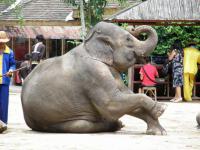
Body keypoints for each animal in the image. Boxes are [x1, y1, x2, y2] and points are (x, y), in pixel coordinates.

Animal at [21, 21, 167, 135]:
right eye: (128, 39)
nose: (133, 28)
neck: (90, 44)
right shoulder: (93, 72)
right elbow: (111, 104)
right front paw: (160, 109)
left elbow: (126, 97)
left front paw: (158, 132)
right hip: (51, 119)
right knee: (82, 125)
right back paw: (116, 125)